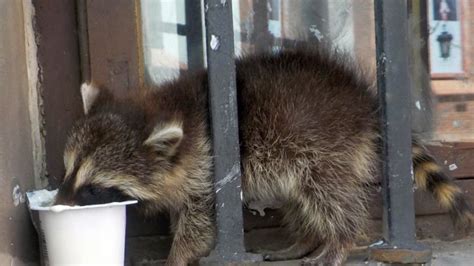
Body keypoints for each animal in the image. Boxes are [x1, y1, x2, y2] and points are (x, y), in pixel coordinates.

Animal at [53, 48, 472, 264]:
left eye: (94, 188)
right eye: (68, 171)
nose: (59, 203)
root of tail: (363, 100)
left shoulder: (207, 168)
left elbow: (199, 223)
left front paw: (178, 256)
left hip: (321, 144)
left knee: (330, 197)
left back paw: (338, 241)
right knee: (299, 199)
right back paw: (306, 239)